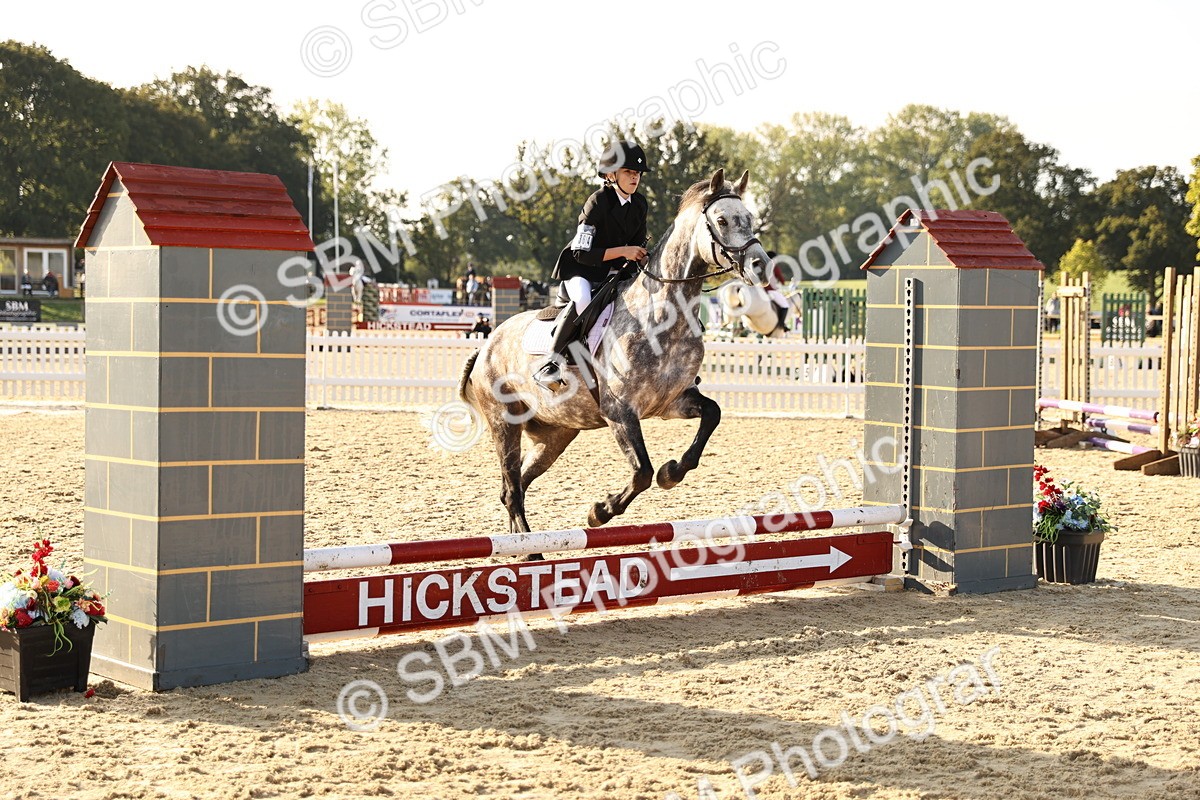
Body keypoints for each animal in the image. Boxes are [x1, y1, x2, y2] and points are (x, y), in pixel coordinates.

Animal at [458, 169, 771, 534]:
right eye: (721, 220)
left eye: (749, 218)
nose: (761, 266)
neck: (662, 316)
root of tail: (486, 346)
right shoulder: (619, 411)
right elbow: (642, 472)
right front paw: (600, 512)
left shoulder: (671, 401)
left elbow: (712, 414)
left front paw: (672, 472)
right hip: (504, 421)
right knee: (511, 489)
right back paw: (527, 545)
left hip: (556, 433)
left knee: (518, 482)